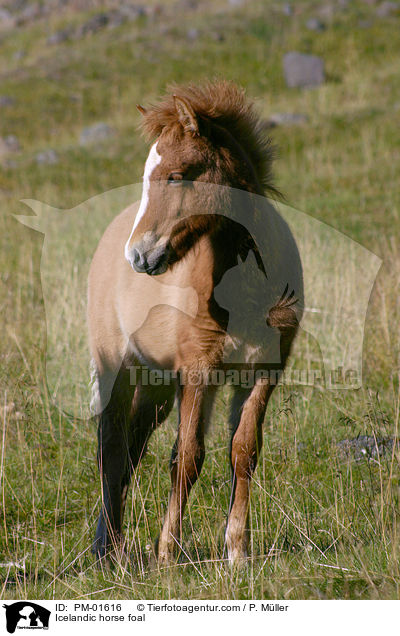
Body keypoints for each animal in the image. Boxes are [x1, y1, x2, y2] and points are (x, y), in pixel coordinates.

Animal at [88, 80, 304, 568]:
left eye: (176, 175)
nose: (138, 256)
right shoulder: (198, 370)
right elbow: (186, 456)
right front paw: (168, 552)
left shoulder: (262, 371)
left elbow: (244, 451)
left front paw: (237, 550)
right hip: (119, 368)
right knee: (112, 445)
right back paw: (106, 550)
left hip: (157, 384)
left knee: (132, 444)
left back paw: (114, 545)